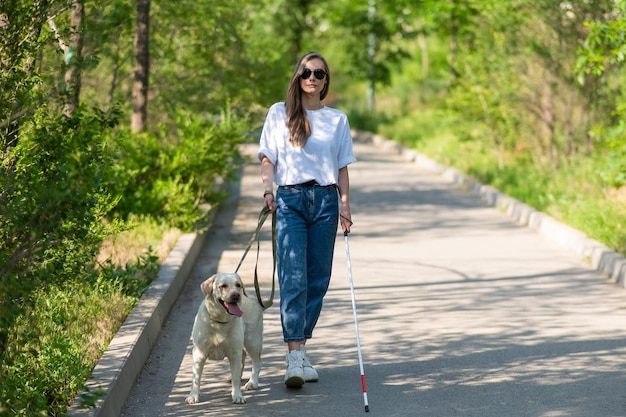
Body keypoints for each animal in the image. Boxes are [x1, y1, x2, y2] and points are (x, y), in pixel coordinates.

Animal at [185, 272, 264, 404]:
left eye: (238, 285)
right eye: (223, 286)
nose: (236, 295)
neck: (219, 321)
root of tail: (253, 297)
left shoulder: (234, 353)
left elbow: (236, 379)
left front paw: (237, 395)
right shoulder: (198, 353)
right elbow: (196, 378)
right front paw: (193, 395)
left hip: (252, 342)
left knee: (256, 362)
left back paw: (252, 382)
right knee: (243, 355)